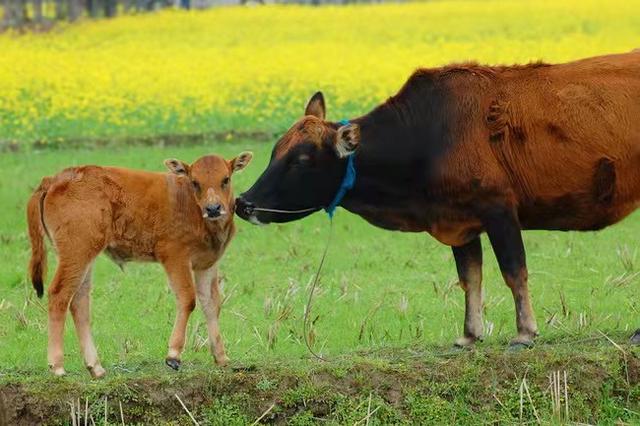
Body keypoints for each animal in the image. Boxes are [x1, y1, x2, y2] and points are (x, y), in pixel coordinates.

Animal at [27, 151, 252, 378]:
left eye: (226, 179)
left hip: (84, 255)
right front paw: (173, 355)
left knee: (79, 301)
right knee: (59, 294)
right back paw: (57, 365)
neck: (190, 205)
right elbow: (188, 299)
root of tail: (56, 179)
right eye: (195, 182)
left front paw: (221, 357)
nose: (213, 208)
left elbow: (211, 304)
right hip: (76, 253)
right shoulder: (175, 257)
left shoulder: (206, 264)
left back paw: (95, 367)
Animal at [238, 50, 640, 350]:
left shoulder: (499, 209)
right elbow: (470, 277)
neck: (428, 138)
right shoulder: (459, 220)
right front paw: (469, 335)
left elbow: (514, 270)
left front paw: (525, 332)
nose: (244, 203)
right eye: (274, 151)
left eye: (301, 160)